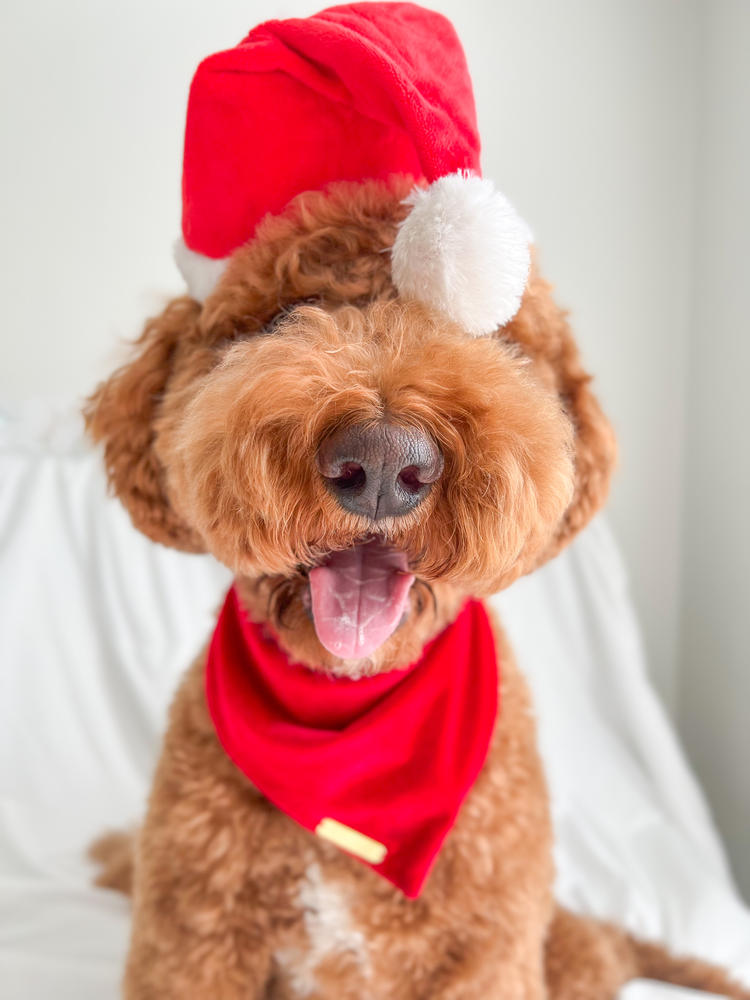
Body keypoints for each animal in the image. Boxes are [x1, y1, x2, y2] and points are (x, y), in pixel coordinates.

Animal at [82, 3, 750, 996]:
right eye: (286, 314)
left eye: (486, 331)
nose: (383, 460)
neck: (348, 736)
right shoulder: (191, 936)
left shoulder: (487, 951)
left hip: (565, 951)